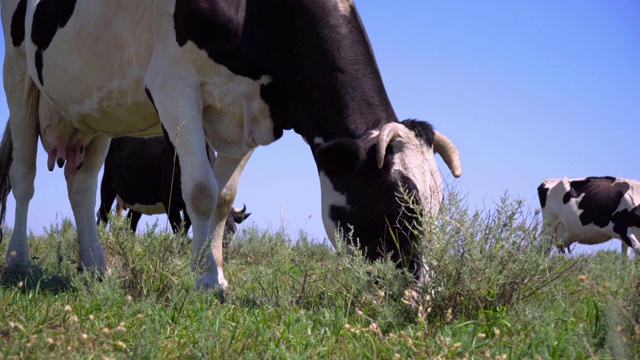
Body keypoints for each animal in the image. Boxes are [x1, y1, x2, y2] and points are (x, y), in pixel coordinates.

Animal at [97, 135, 250, 245]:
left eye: (232, 230)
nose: (221, 246)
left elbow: (184, 229)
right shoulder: (169, 200)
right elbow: (178, 229)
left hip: (138, 201)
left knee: (130, 224)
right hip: (107, 184)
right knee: (102, 215)